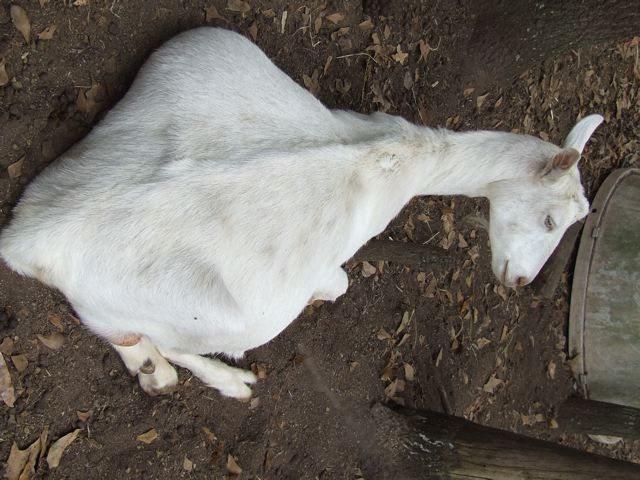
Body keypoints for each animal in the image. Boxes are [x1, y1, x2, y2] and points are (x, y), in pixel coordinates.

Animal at [0, 28, 602, 398]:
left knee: (128, 336)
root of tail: (30, 242)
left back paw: (153, 372)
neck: (401, 157)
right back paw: (224, 380)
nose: (519, 279)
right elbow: (338, 285)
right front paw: (320, 297)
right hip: (221, 313)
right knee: (166, 337)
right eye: (551, 220)